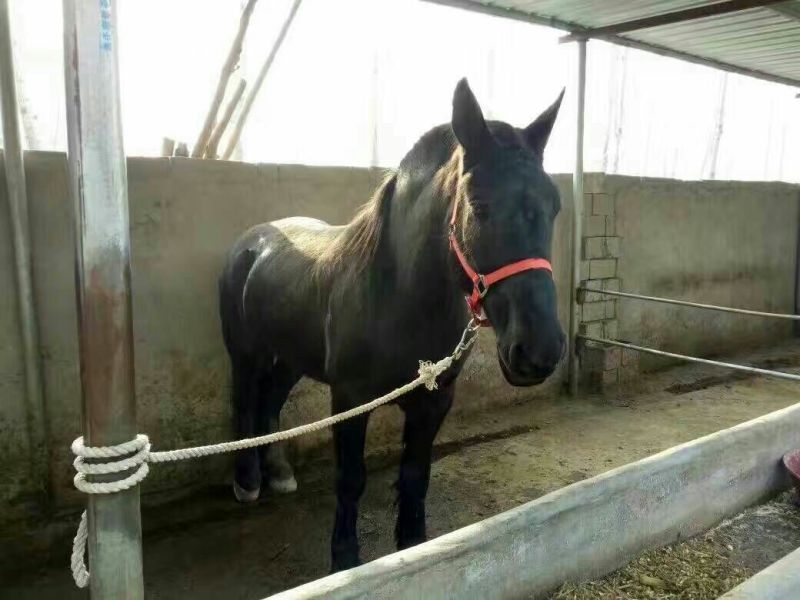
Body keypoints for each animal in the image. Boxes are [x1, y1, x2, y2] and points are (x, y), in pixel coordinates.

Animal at [218, 78, 566, 572]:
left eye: (554, 206)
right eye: (479, 207)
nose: (538, 351)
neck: (397, 296)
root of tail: (253, 240)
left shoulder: (434, 400)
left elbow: (415, 475)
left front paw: (413, 544)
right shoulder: (349, 399)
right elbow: (351, 479)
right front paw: (345, 559)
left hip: (291, 355)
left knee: (270, 401)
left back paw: (279, 474)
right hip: (246, 352)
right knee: (246, 402)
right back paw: (247, 481)